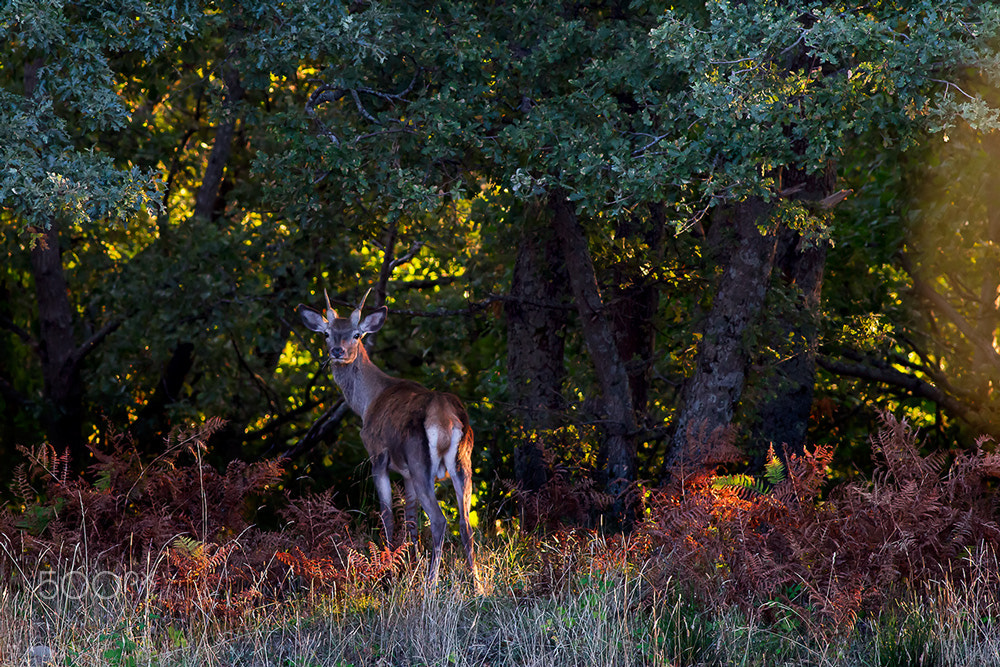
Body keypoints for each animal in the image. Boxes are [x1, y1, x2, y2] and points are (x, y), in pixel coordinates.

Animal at [298, 290, 478, 588]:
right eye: (326, 334)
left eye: (356, 334)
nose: (338, 351)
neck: (368, 402)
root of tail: (444, 416)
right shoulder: (406, 473)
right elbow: (411, 520)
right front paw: (410, 565)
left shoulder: (377, 454)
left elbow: (388, 515)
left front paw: (389, 572)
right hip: (462, 463)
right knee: (465, 522)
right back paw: (477, 585)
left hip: (420, 461)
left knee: (440, 520)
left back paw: (430, 585)